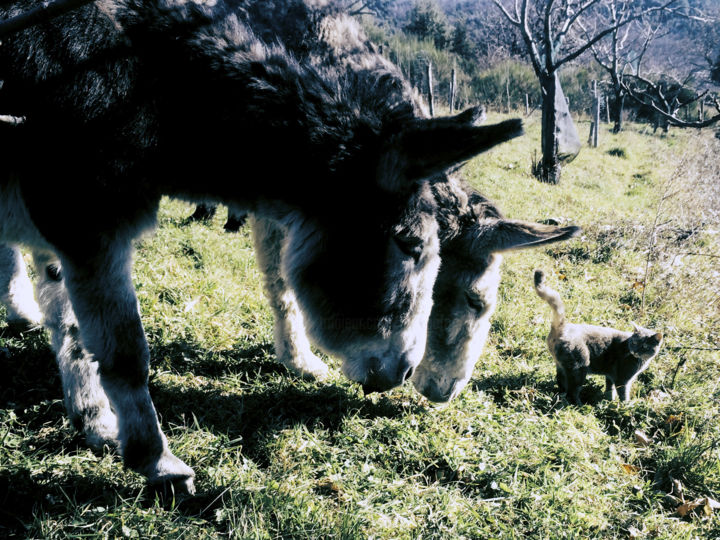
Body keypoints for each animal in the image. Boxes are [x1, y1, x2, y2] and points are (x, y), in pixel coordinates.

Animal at [536, 268, 664, 402]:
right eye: (634, 343)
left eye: (644, 346)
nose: (635, 351)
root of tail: (562, 326)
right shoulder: (622, 379)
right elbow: (623, 395)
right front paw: (625, 405)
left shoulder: (610, 375)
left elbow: (609, 390)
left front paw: (609, 401)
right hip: (579, 367)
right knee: (572, 392)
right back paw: (579, 404)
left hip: (561, 366)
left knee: (561, 384)